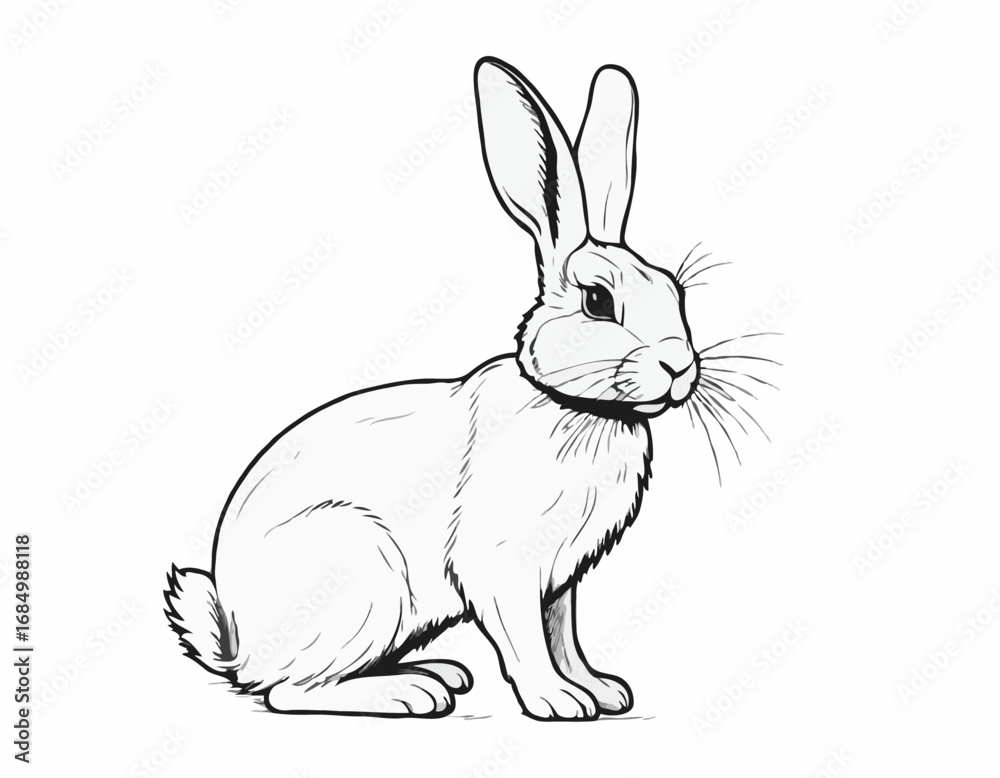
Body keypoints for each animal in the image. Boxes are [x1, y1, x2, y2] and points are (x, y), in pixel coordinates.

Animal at [165, 56, 700, 721]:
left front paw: (601, 690)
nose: (680, 365)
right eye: (598, 301)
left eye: (675, 290)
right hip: (364, 579)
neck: (574, 405)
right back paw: (413, 693)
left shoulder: (560, 581)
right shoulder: (501, 567)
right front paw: (556, 702)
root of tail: (238, 643)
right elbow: (525, 639)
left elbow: (562, 634)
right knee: (290, 692)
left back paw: (439, 672)